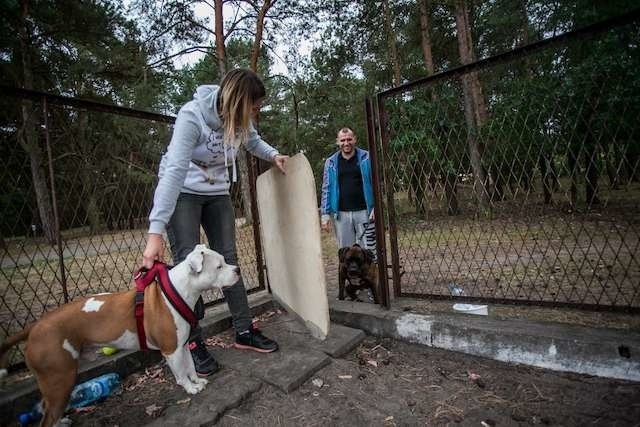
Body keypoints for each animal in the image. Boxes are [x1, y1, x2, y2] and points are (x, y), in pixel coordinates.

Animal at [0, 244, 240, 427]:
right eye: (219, 266)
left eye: (223, 261)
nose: (237, 269)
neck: (180, 290)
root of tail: (35, 327)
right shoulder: (171, 349)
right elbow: (180, 373)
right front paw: (190, 389)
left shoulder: (181, 345)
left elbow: (189, 366)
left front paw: (197, 381)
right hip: (60, 378)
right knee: (47, 417)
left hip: (54, 382)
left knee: (47, 409)